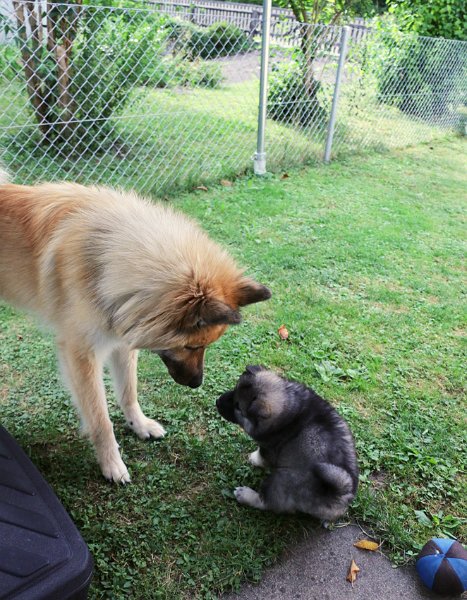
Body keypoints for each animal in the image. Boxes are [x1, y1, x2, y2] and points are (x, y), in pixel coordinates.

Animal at [0, 171, 270, 480]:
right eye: (192, 346)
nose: (197, 384)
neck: (109, 258)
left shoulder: (122, 336)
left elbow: (129, 390)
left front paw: (139, 425)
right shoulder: (81, 354)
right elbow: (100, 417)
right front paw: (111, 462)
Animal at [218, 366, 360, 520]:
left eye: (238, 407)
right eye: (234, 389)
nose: (217, 401)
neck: (289, 404)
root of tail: (335, 496)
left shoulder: (269, 448)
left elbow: (262, 455)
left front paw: (253, 458)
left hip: (280, 481)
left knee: (267, 503)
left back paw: (245, 495)